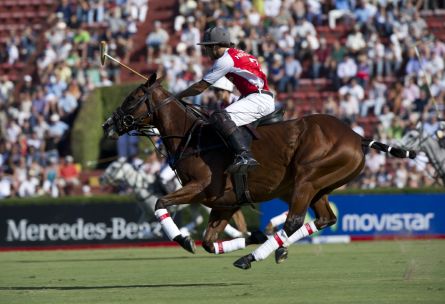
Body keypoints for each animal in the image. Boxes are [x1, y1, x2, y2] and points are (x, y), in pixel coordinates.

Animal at [99, 158, 250, 239]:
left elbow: (157, 225)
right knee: (198, 219)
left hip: (204, 204)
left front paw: (155, 234)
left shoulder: (163, 208)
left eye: (113, 167)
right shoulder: (146, 213)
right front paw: (147, 234)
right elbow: (138, 229)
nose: (101, 179)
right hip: (194, 205)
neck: (145, 187)